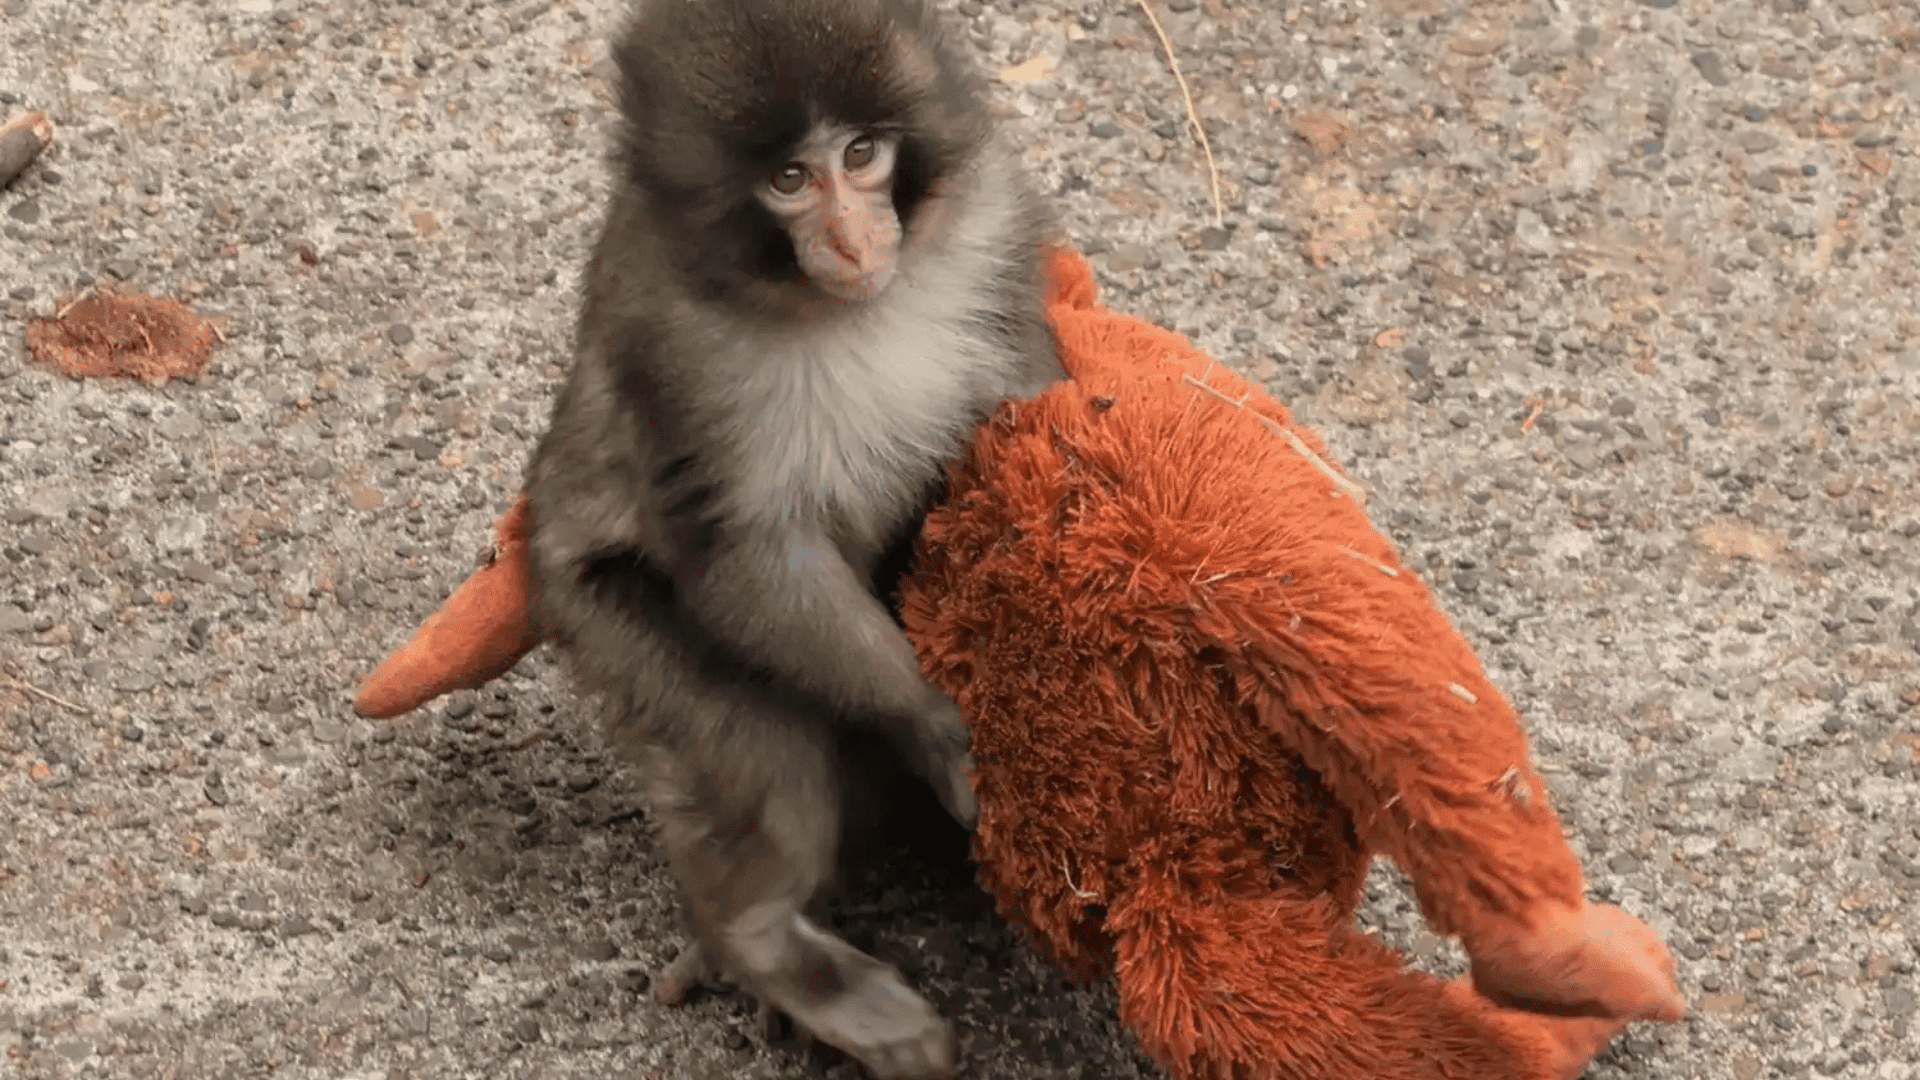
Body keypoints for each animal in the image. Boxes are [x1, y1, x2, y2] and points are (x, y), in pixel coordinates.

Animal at [521, 1, 1063, 1076]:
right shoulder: (674, 347)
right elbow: (744, 557)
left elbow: (1029, 394)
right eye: (788, 180)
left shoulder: (988, 227)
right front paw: (935, 721)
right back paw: (767, 946)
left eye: (860, 154)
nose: (854, 239)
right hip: (604, 617)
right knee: (768, 760)